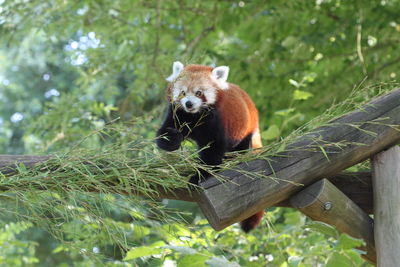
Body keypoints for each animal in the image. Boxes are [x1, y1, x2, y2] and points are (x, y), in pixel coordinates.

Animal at [158, 61, 264, 233]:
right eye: (182, 92)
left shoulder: (217, 121)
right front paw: (172, 140)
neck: (195, 115)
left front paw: (200, 175)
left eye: (199, 92)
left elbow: (213, 151)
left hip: (244, 131)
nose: (188, 103)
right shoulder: (177, 113)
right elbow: (164, 133)